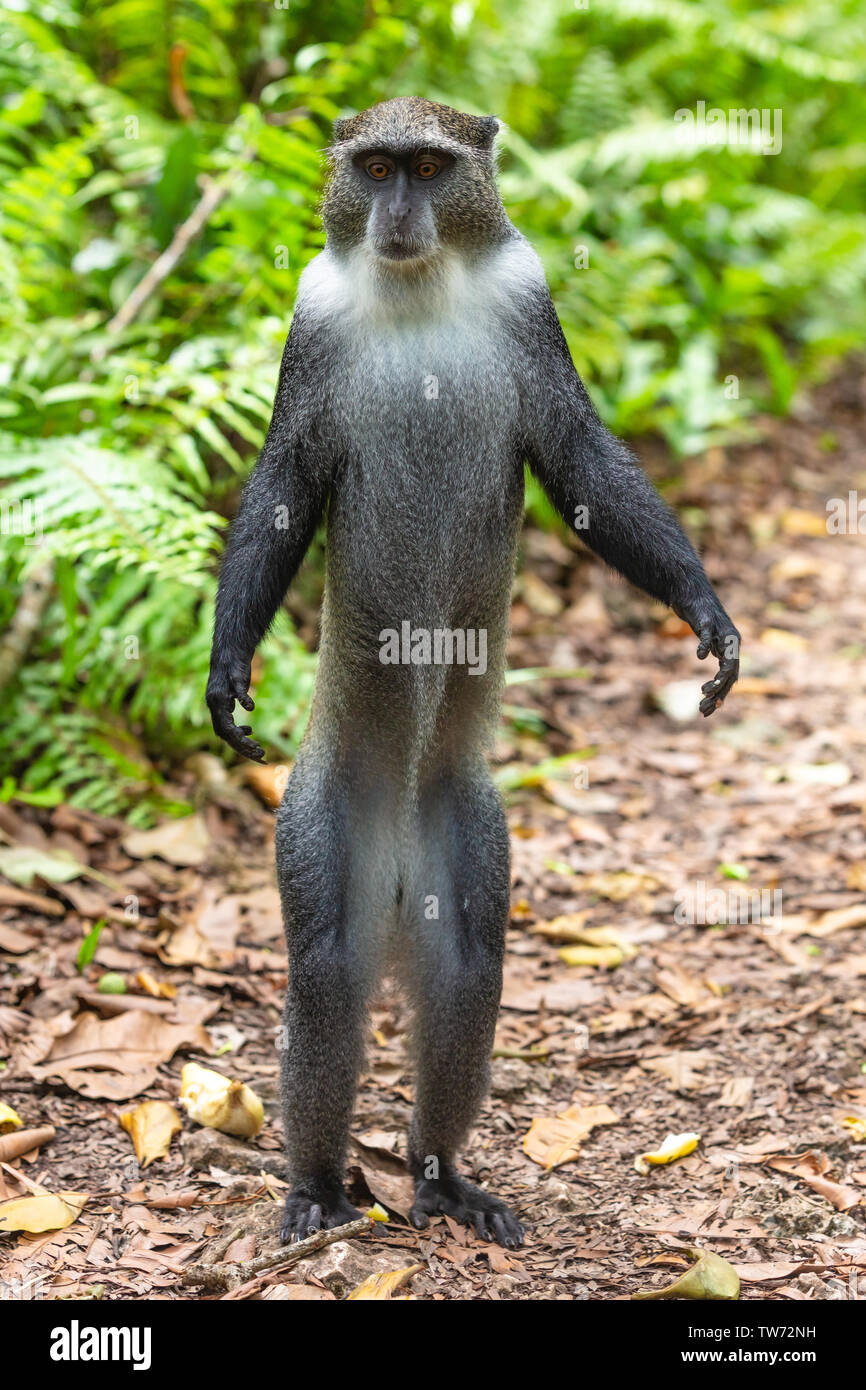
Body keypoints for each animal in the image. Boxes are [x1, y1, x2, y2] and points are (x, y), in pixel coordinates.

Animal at [206, 98, 740, 1250]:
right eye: (374, 169)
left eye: (427, 166)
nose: (398, 214)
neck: (422, 286)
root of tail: (404, 859)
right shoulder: (311, 320)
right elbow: (283, 482)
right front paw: (225, 675)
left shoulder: (526, 298)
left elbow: (581, 461)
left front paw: (705, 613)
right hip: (325, 827)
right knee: (329, 970)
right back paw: (319, 1185)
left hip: (467, 837)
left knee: (465, 969)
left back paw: (440, 1173)